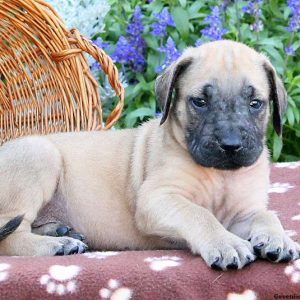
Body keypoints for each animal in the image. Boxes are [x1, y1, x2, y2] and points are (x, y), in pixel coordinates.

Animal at [0, 39, 298, 270]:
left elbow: (267, 215)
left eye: (255, 103)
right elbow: (200, 214)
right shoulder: (158, 199)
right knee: (10, 237)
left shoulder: (244, 212)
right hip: (39, 155)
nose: (231, 145)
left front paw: (279, 239)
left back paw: (58, 230)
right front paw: (226, 243)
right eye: (200, 102)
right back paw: (59, 244)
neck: (220, 176)